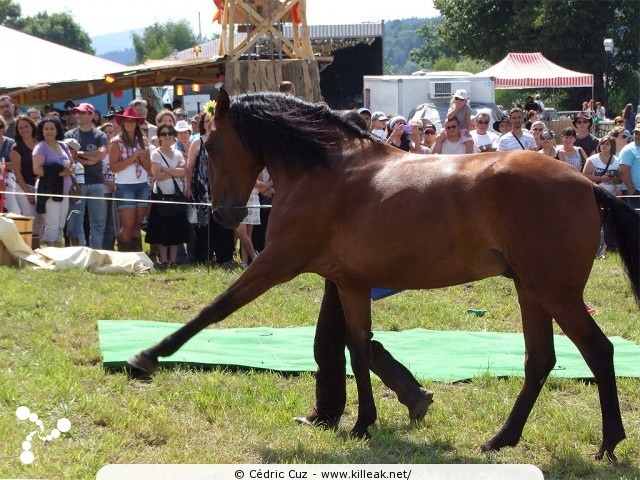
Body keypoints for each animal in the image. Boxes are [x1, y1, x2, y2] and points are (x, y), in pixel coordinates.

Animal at [130, 90, 640, 462]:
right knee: (540, 361)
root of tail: (587, 183)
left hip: (555, 292)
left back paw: (608, 442)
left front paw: (147, 356)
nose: (222, 214)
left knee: (598, 351)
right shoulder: (350, 283)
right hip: (531, 290)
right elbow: (358, 348)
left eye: (212, 145)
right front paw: (362, 423)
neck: (327, 170)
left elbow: (215, 309)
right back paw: (501, 439)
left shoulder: (276, 262)